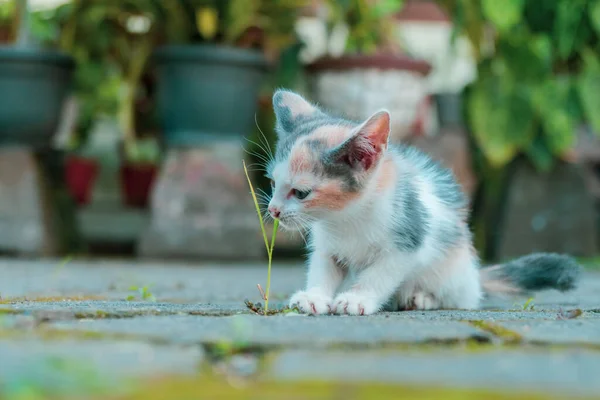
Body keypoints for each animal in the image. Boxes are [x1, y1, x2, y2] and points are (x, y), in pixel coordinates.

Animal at [264, 88, 580, 316]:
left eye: (301, 193)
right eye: (273, 184)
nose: (273, 211)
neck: (345, 217)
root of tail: (475, 277)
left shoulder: (408, 240)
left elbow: (379, 274)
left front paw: (358, 298)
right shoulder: (328, 246)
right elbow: (322, 269)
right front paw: (314, 297)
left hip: (453, 271)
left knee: (459, 298)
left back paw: (421, 298)